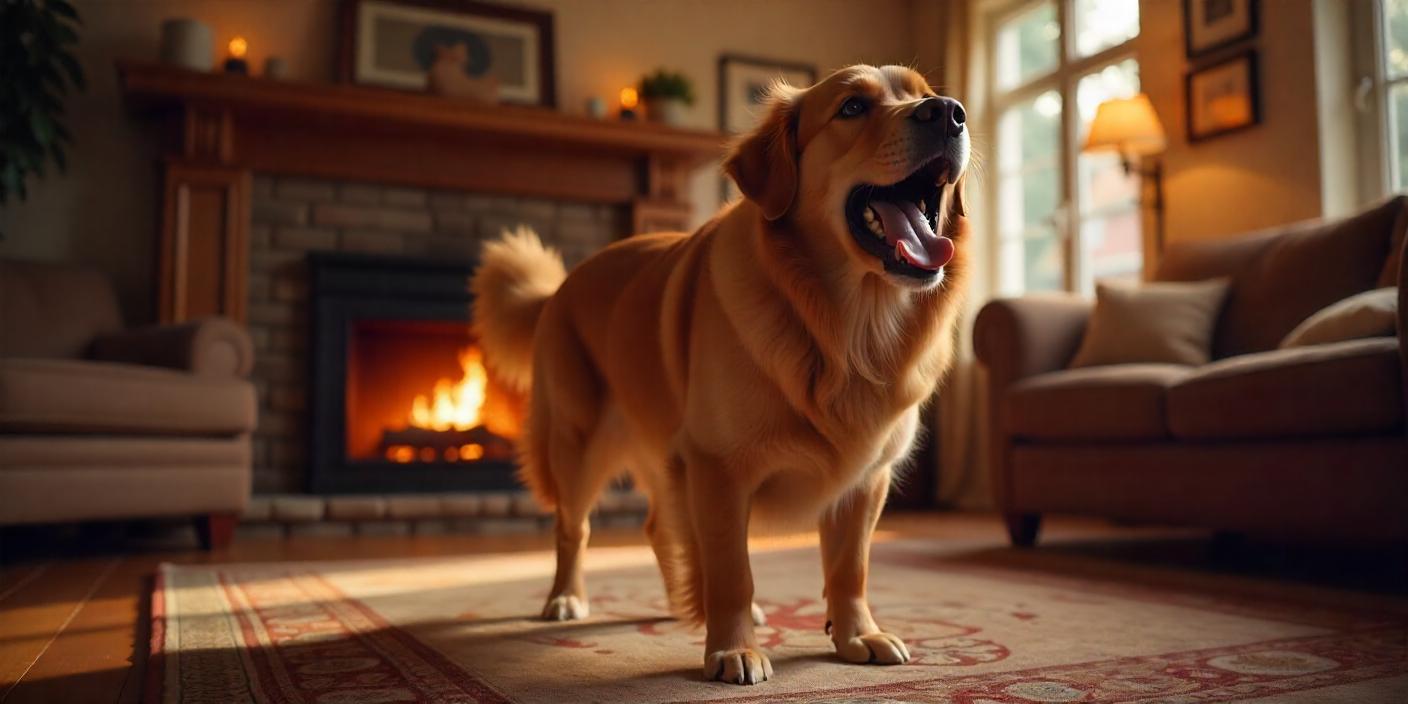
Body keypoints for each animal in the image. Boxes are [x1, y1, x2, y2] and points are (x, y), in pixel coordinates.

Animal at [470, 64, 968, 681]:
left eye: (925, 95)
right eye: (852, 107)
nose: (949, 112)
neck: (847, 330)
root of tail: (560, 287)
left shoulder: (865, 480)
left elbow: (849, 570)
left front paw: (857, 634)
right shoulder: (720, 468)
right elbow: (733, 570)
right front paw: (732, 647)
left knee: (660, 529)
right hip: (577, 442)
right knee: (573, 528)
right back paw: (566, 598)